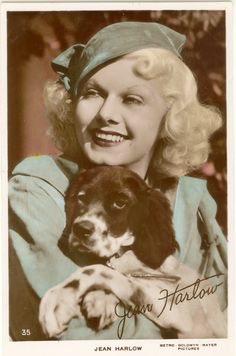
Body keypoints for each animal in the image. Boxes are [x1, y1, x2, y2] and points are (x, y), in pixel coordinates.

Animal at [38, 167, 227, 340]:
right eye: (82, 197)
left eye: (120, 202)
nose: (80, 229)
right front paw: (100, 300)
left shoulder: (181, 314)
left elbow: (98, 270)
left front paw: (57, 301)